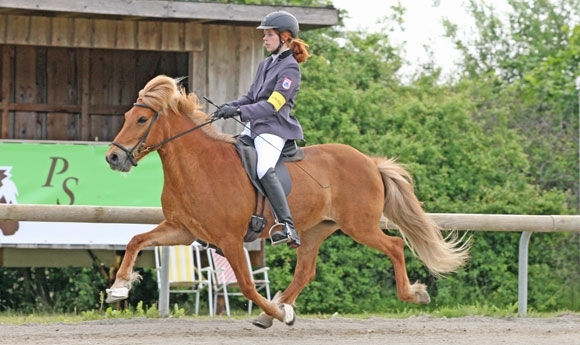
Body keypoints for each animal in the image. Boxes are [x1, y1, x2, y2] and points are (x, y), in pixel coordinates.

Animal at [103, 74, 466, 326]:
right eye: (127, 117)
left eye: (142, 119)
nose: (112, 158)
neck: (199, 166)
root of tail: (369, 162)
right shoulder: (183, 230)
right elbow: (136, 240)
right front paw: (119, 287)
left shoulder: (229, 240)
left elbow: (248, 286)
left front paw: (281, 315)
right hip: (316, 229)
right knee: (305, 271)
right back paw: (276, 310)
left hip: (359, 226)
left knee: (394, 245)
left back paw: (414, 293)